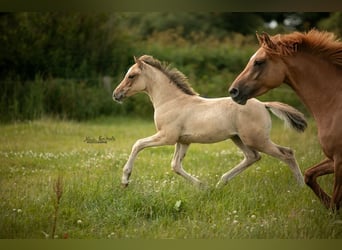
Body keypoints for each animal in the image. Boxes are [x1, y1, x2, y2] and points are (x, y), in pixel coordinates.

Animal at [113, 54, 308, 188]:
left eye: (131, 76)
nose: (116, 94)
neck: (171, 101)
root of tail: (263, 104)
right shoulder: (183, 141)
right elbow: (175, 165)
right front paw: (202, 187)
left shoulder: (167, 137)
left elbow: (138, 144)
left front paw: (125, 180)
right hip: (238, 138)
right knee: (253, 156)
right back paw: (220, 183)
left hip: (256, 139)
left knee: (287, 154)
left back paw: (301, 186)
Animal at [227, 28, 342, 209]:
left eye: (259, 62)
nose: (233, 91)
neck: (334, 102)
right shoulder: (333, 159)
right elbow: (309, 175)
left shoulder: (339, 161)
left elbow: (335, 201)